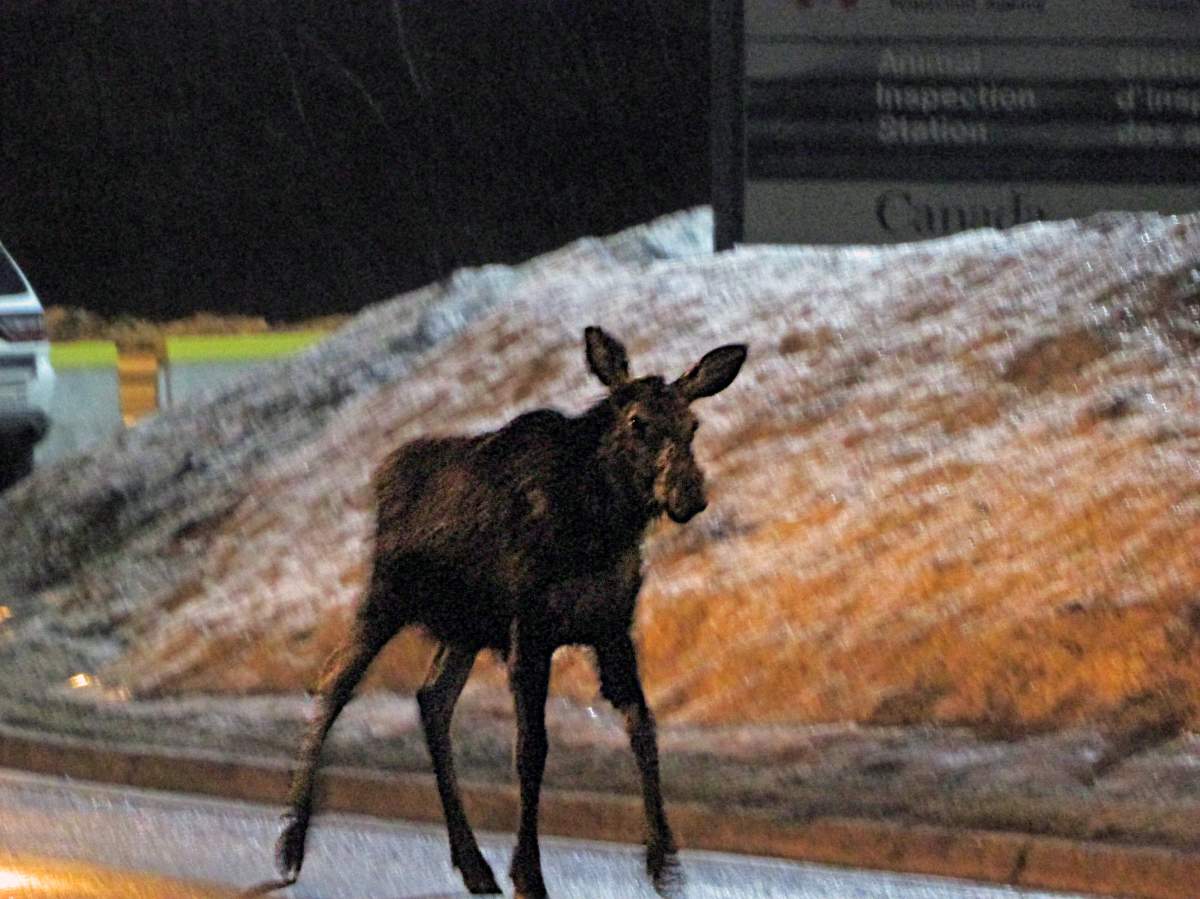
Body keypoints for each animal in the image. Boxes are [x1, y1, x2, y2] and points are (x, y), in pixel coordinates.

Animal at [272, 326, 747, 898]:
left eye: (693, 425)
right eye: (638, 422)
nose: (689, 494)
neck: (601, 527)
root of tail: (382, 472)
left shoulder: (611, 627)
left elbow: (643, 726)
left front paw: (664, 860)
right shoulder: (530, 628)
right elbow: (531, 749)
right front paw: (529, 874)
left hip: (463, 629)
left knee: (432, 699)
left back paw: (474, 864)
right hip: (385, 597)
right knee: (333, 683)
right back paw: (291, 846)